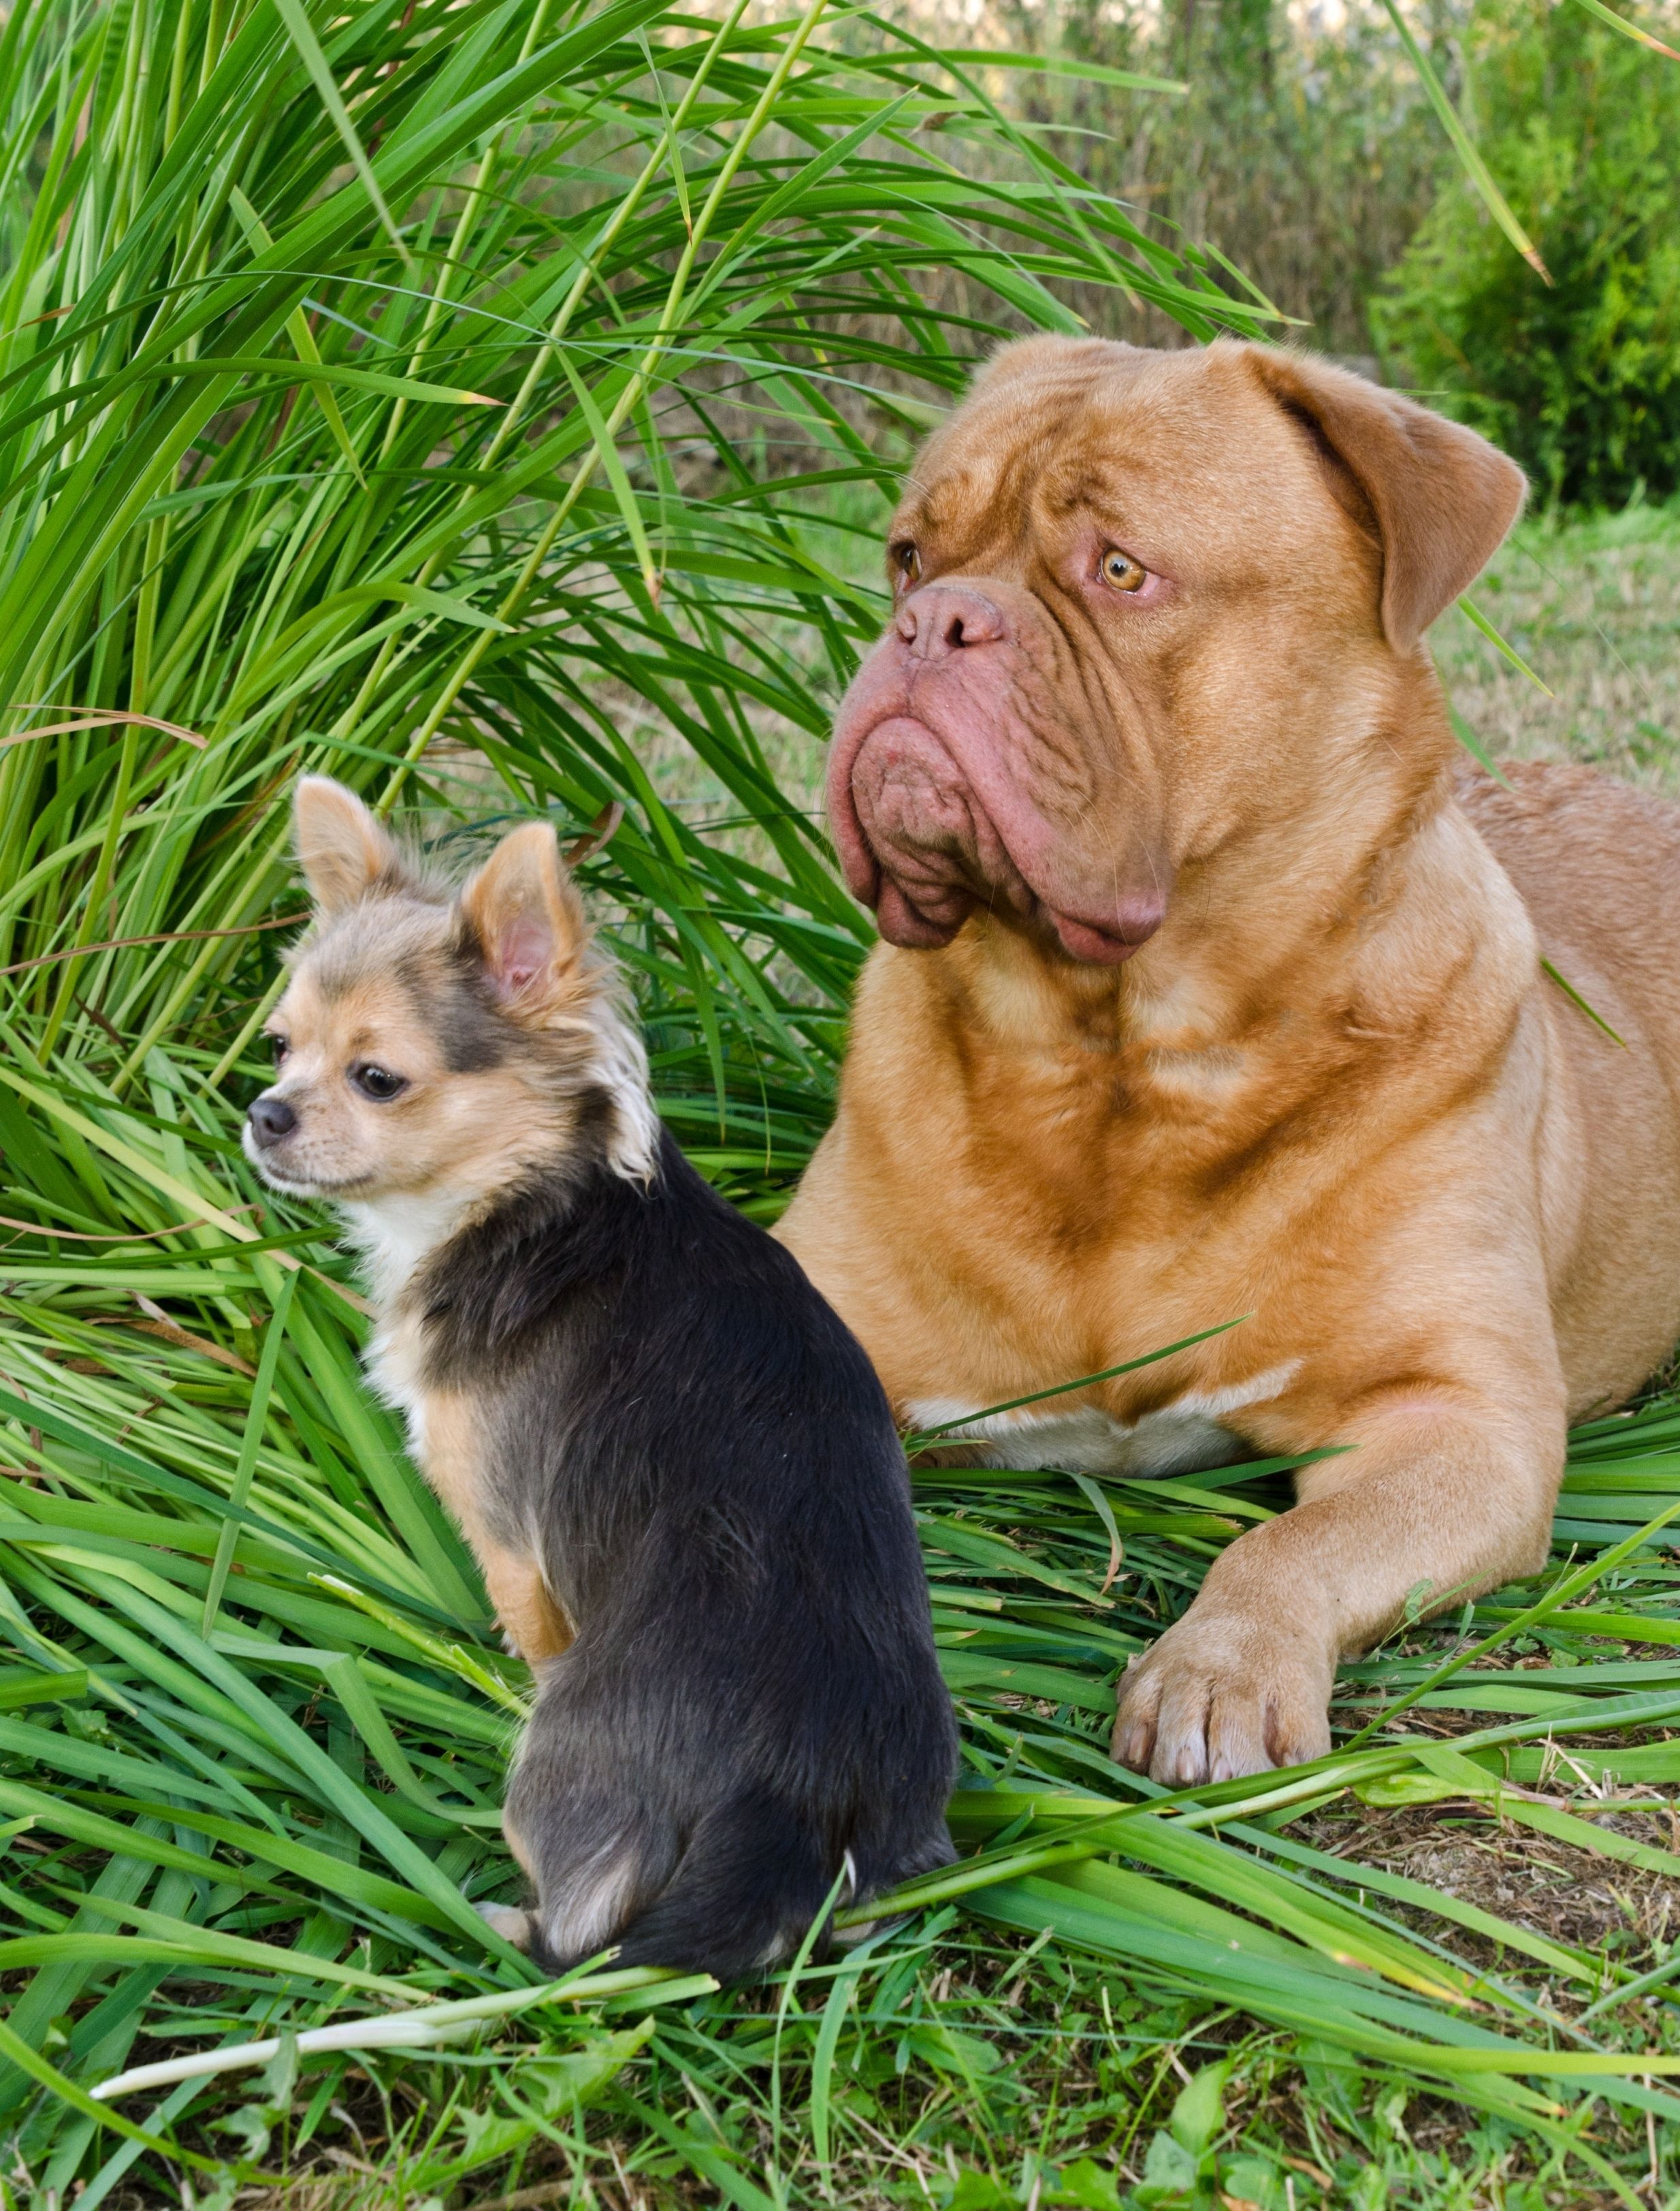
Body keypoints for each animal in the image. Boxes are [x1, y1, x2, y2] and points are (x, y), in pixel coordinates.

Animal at [244, 782, 963, 1990]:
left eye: (376, 1079)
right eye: (282, 1046)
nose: (265, 1112)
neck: (526, 1203)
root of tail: (788, 1793)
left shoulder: (503, 1530)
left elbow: (526, 1626)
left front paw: (504, 1664)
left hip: (556, 1779)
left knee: (577, 1935)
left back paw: (488, 1918)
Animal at [782, 336, 1680, 1786]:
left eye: (1119, 569)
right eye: (907, 558)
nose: (932, 624)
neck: (1119, 1062)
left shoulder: (1454, 1417)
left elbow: (1292, 1540)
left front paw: (1219, 1666)